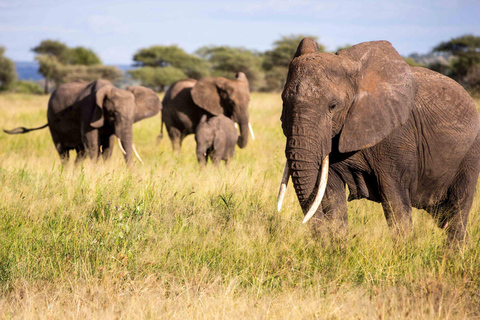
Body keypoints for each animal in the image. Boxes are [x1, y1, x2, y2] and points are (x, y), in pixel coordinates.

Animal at [3, 79, 161, 165]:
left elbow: (108, 147)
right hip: (52, 121)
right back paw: (66, 171)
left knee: (81, 152)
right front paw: (97, 171)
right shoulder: (88, 110)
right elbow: (92, 143)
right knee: (63, 152)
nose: (133, 176)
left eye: (134, 115)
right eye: (114, 113)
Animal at [278, 38, 480, 242]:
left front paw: (403, 249)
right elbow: (331, 196)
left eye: (333, 106)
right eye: (284, 102)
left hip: (470, 154)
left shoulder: (397, 136)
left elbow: (394, 198)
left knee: (457, 212)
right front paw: (336, 247)